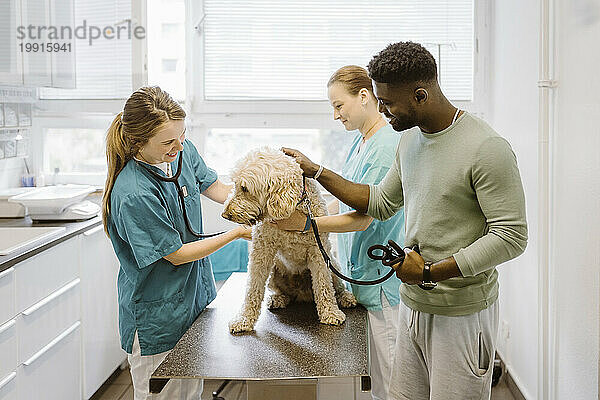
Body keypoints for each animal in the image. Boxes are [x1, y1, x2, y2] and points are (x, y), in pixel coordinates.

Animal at [223, 145, 358, 332]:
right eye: (235, 184)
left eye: (244, 188)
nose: (225, 214)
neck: (292, 208)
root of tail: (302, 294)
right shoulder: (261, 251)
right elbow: (253, 287)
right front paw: (244, 319)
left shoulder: (318, 252)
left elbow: (324, 284)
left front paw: (330, 312)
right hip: (274, 271)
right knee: (283, 292)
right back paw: (278, 298)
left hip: (333, 265)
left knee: (336, 286)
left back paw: (345, 297)